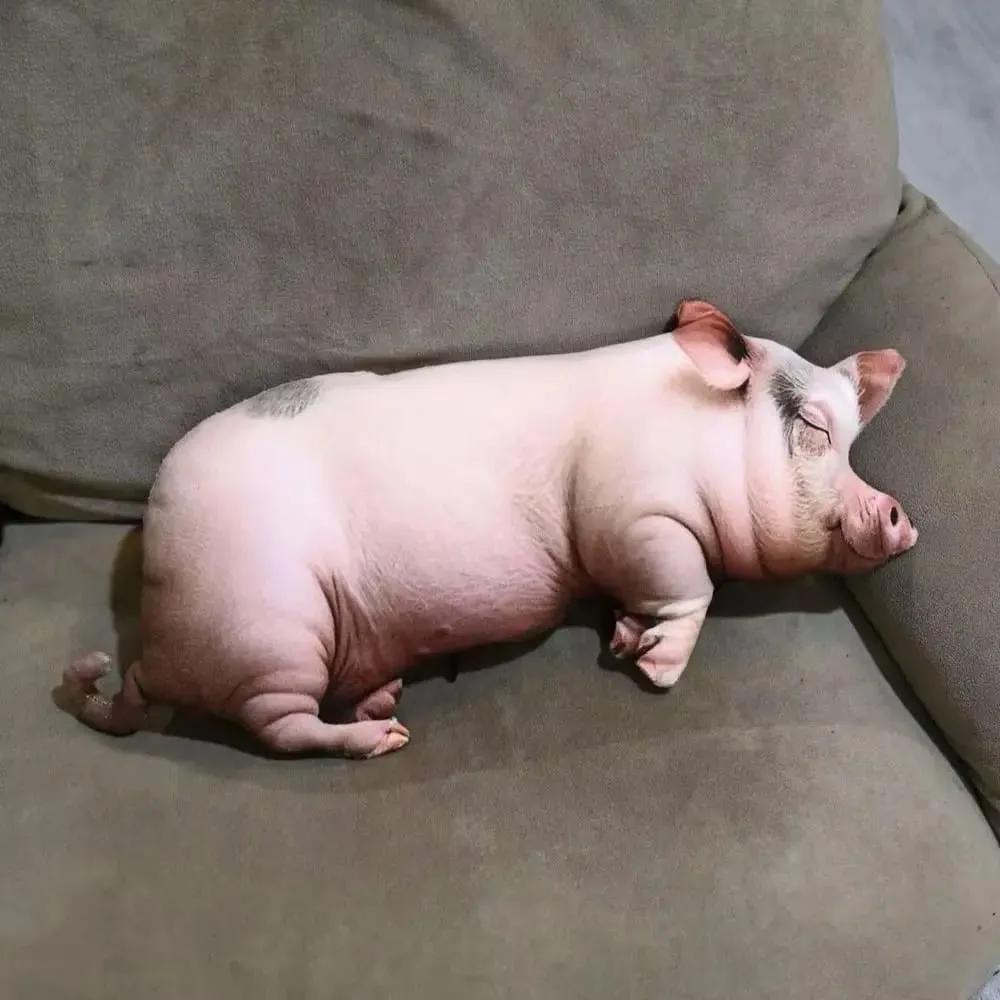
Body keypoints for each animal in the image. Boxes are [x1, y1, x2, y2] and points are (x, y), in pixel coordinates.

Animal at [57, 299, 917, 760]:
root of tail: (154, 649)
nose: (900, 514)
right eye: (813, 428)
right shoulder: (634, 513)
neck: (702, 438)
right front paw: (655, 670)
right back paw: (387, 739)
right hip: (269, 629)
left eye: (854, 440)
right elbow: (689, 584)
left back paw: (382, 698)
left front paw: (622, 640)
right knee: (283, 728)